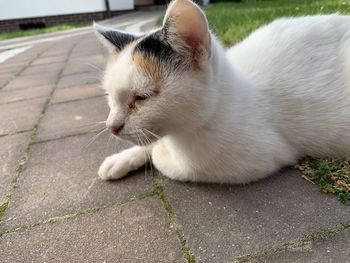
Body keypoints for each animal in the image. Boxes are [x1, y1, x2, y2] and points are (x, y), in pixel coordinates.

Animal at [93, 0, 350, 185]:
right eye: (110, 98)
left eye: (142, 97)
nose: (111, 126)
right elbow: (150, 142)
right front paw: (123, 158)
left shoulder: (255, 160)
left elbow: (168, 161)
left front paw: (158, 151)